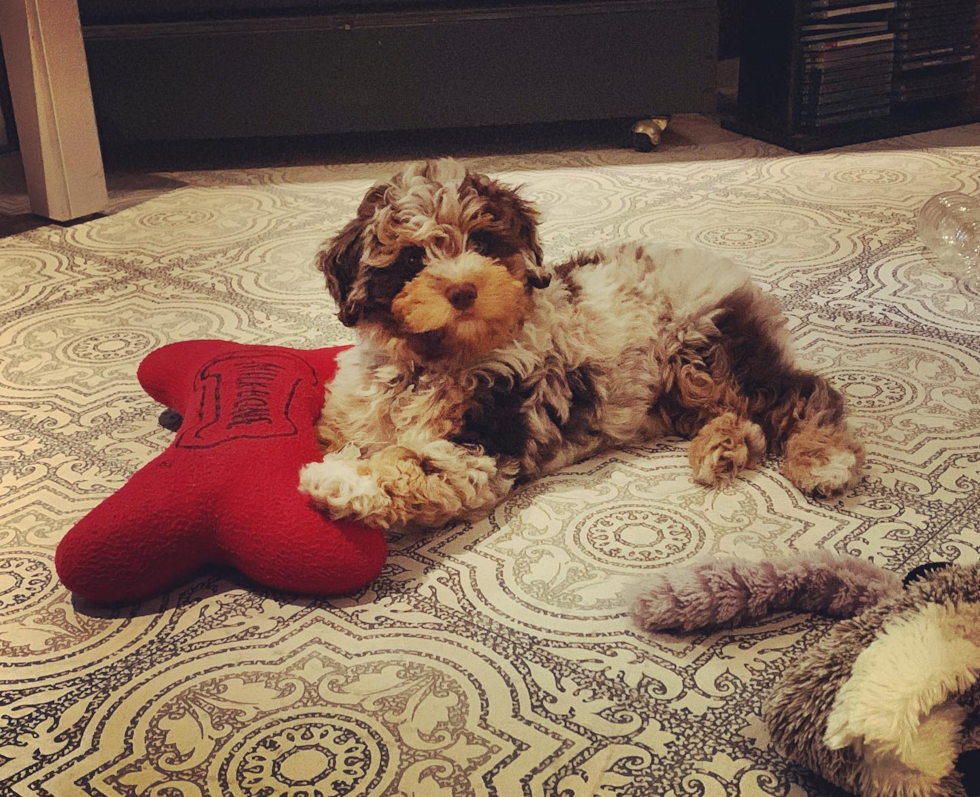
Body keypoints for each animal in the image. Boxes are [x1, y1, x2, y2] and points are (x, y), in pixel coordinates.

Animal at [300, 157, 864, 528]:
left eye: (483, 243)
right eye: (412, 261)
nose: (464, 290)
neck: (432, 361)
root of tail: (721, 266)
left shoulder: (484, 442)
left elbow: (411, 462)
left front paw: (341, 482)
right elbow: (345, 434)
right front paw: (340, 463)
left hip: (711, 352)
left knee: (805, 394)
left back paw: (822, 461)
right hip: (685, 387)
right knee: (741, 415)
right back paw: (721, 449)